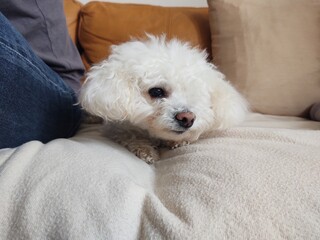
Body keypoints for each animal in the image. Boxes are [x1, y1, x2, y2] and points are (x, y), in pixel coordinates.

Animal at [79, 35, 248, 163]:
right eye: (157, 91)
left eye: (196, 94)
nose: (187, 118)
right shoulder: (116, 127)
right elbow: (130, 135)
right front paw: (145, 150)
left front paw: (178, 141)